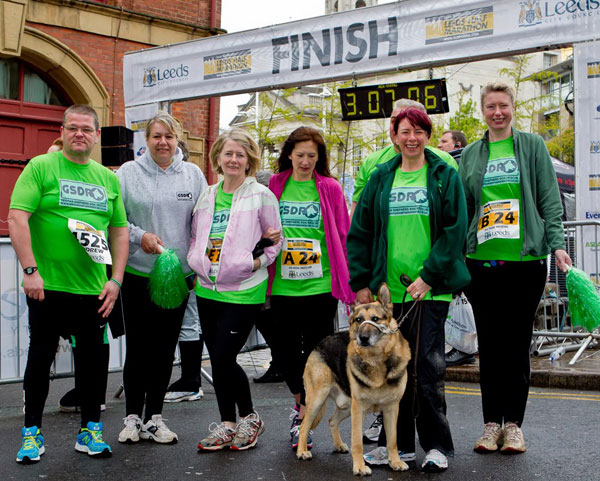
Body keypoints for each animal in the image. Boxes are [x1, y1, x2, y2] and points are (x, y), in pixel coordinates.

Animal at [296, 284, 410, 474]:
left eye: (375, 319)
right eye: (358, 320)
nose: (362, 338)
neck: (376, 360)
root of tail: (321, 342)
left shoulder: (391, 408)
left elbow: (392, 441)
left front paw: (395, 461)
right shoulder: (359, 409)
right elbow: (357, 442)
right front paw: (359, 467)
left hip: (347, 406)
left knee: (331, 421)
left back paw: (338, 445)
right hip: (318, 400)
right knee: (304, 425)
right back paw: (301, 451)